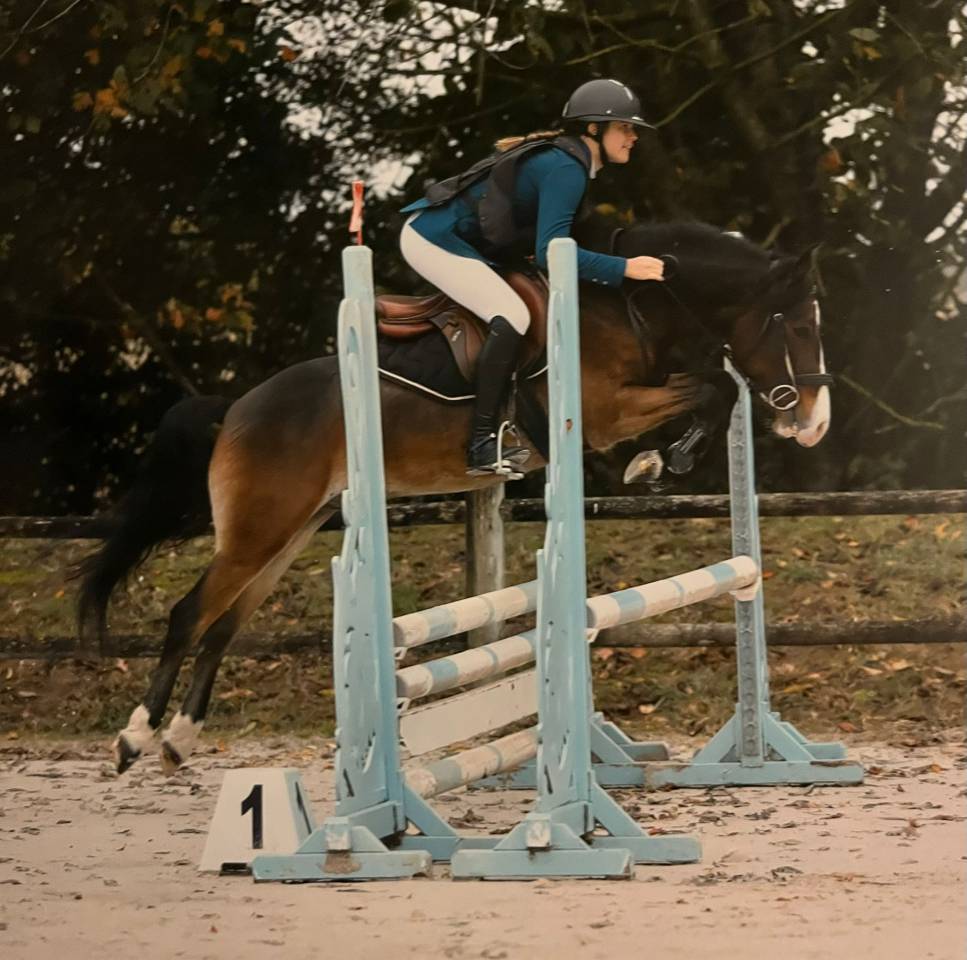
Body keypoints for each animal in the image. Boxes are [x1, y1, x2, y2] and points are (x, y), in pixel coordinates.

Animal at [77, 220, 832, 775]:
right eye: (796, 327)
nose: (815, 424)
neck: (632, 310)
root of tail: (236, 407)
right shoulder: (605, 411)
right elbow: (710, 384)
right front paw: (655, 461)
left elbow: (717, 385)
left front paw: (664, 458)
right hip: (261, 527)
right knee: (189, 615)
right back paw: (135, 738)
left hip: (290, 529)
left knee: (224, 625)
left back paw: (180, 740)